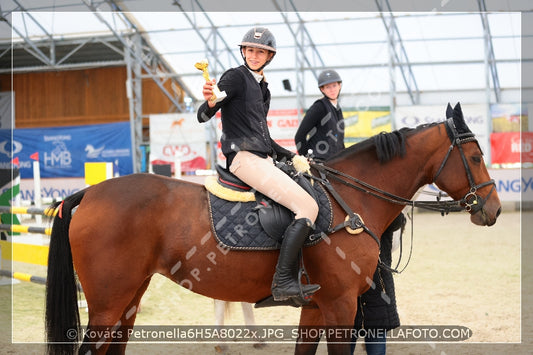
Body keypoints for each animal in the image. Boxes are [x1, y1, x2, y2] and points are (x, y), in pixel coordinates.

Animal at [44, 103, 498, 355]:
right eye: (476, 157)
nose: (491, 208)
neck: (350, 200)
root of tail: (89, 192)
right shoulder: (340, 306)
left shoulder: (315, 308)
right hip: (106, 307)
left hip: (128, 301)